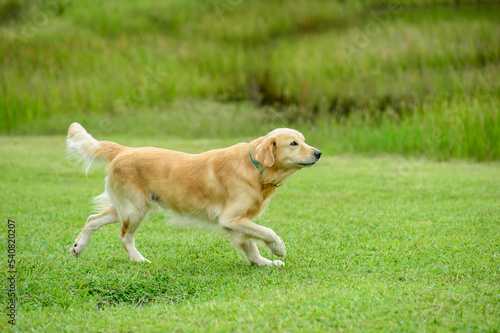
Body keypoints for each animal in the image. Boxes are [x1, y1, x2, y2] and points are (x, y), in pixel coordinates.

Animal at [66, 122, 322, 264]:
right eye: (293, 144)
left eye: (303, 141)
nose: (319, 153)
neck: (254, 167)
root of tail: (123, 150)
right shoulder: (231, 218)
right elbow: (267, 232)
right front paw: (278, 249)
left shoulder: (241, 221)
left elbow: (250, 245)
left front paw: (262, 262)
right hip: (136, 209)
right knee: (124, 236)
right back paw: (138, 259)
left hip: (126, 207)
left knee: (92, 219)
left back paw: (78, 247)